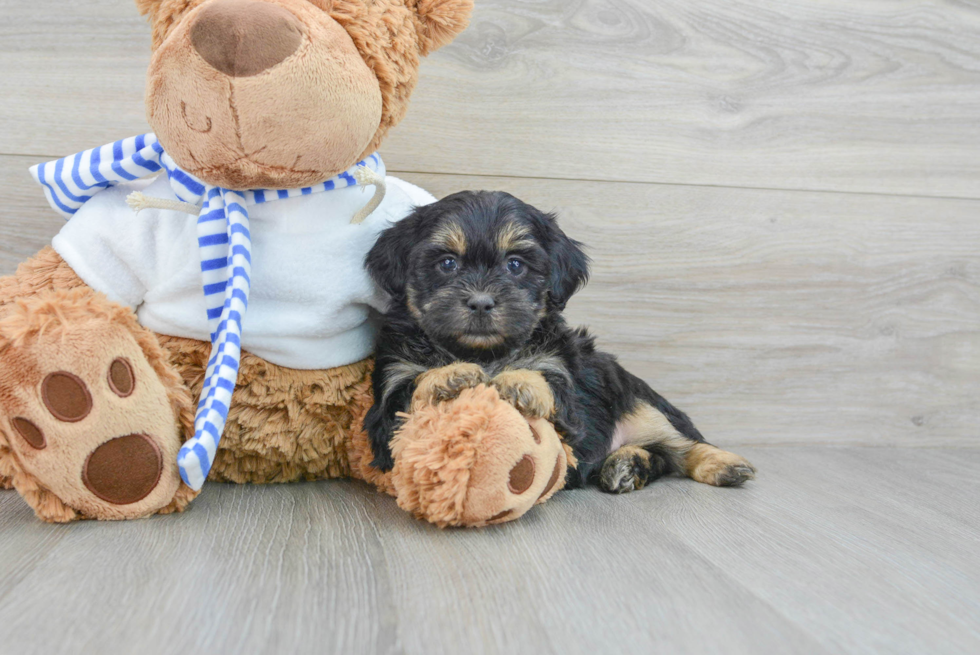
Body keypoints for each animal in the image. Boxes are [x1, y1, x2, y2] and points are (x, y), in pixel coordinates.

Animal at [364, 190, 756, 492]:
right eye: (447, 263)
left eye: (515, 265)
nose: (481, 301)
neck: (486, 352)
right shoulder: (389, 398)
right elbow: (407, 392)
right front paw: (449, 375)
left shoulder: (564, 383)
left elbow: (552, 385)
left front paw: (519, 381)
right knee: (661, 456)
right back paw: (628, 465)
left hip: (637, 401)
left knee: (682, 445)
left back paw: (722, 464)